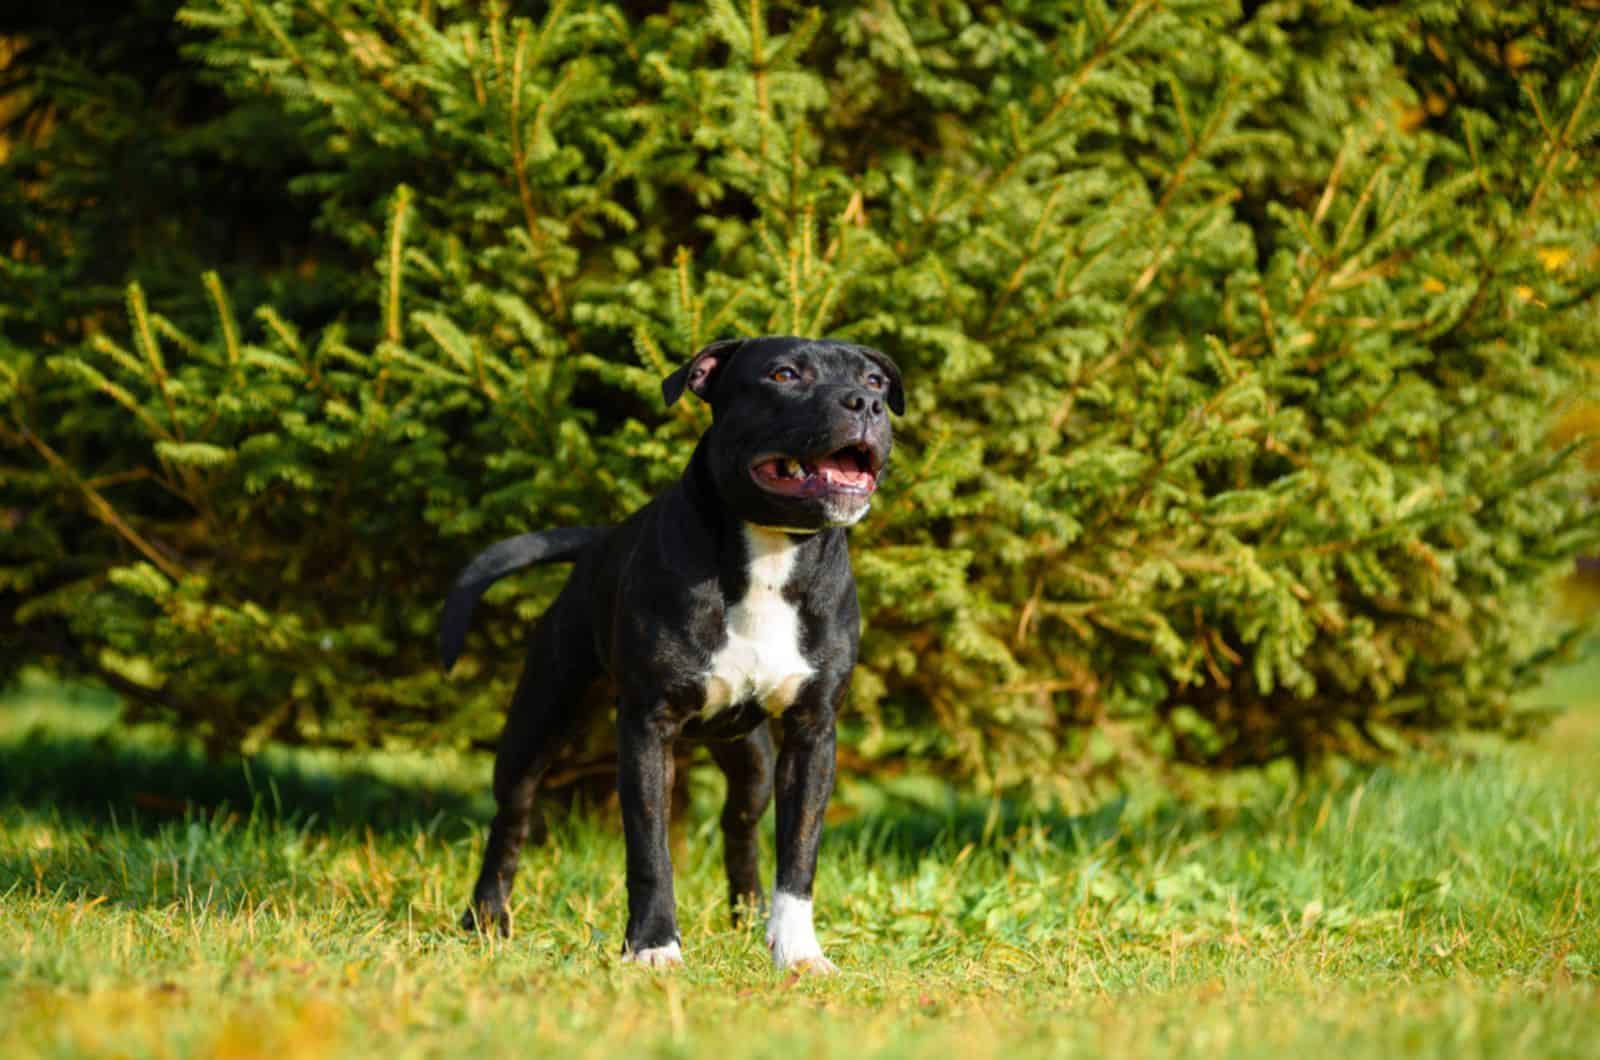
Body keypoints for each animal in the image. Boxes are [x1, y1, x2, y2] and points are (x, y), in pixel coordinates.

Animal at [441, 337, 902, 973]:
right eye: (785, 374)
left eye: (875, 380)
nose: (866, 404)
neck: (770, 554)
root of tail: (599, 540)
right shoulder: (646, 728)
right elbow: (650, 851)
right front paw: (654, 945)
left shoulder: (813, 732)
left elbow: (799, 852)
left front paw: (798, 951)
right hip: (538, 720)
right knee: (511, 816)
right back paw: (487, 918)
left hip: (752, 758)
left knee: (740, 825)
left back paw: (749, 917)